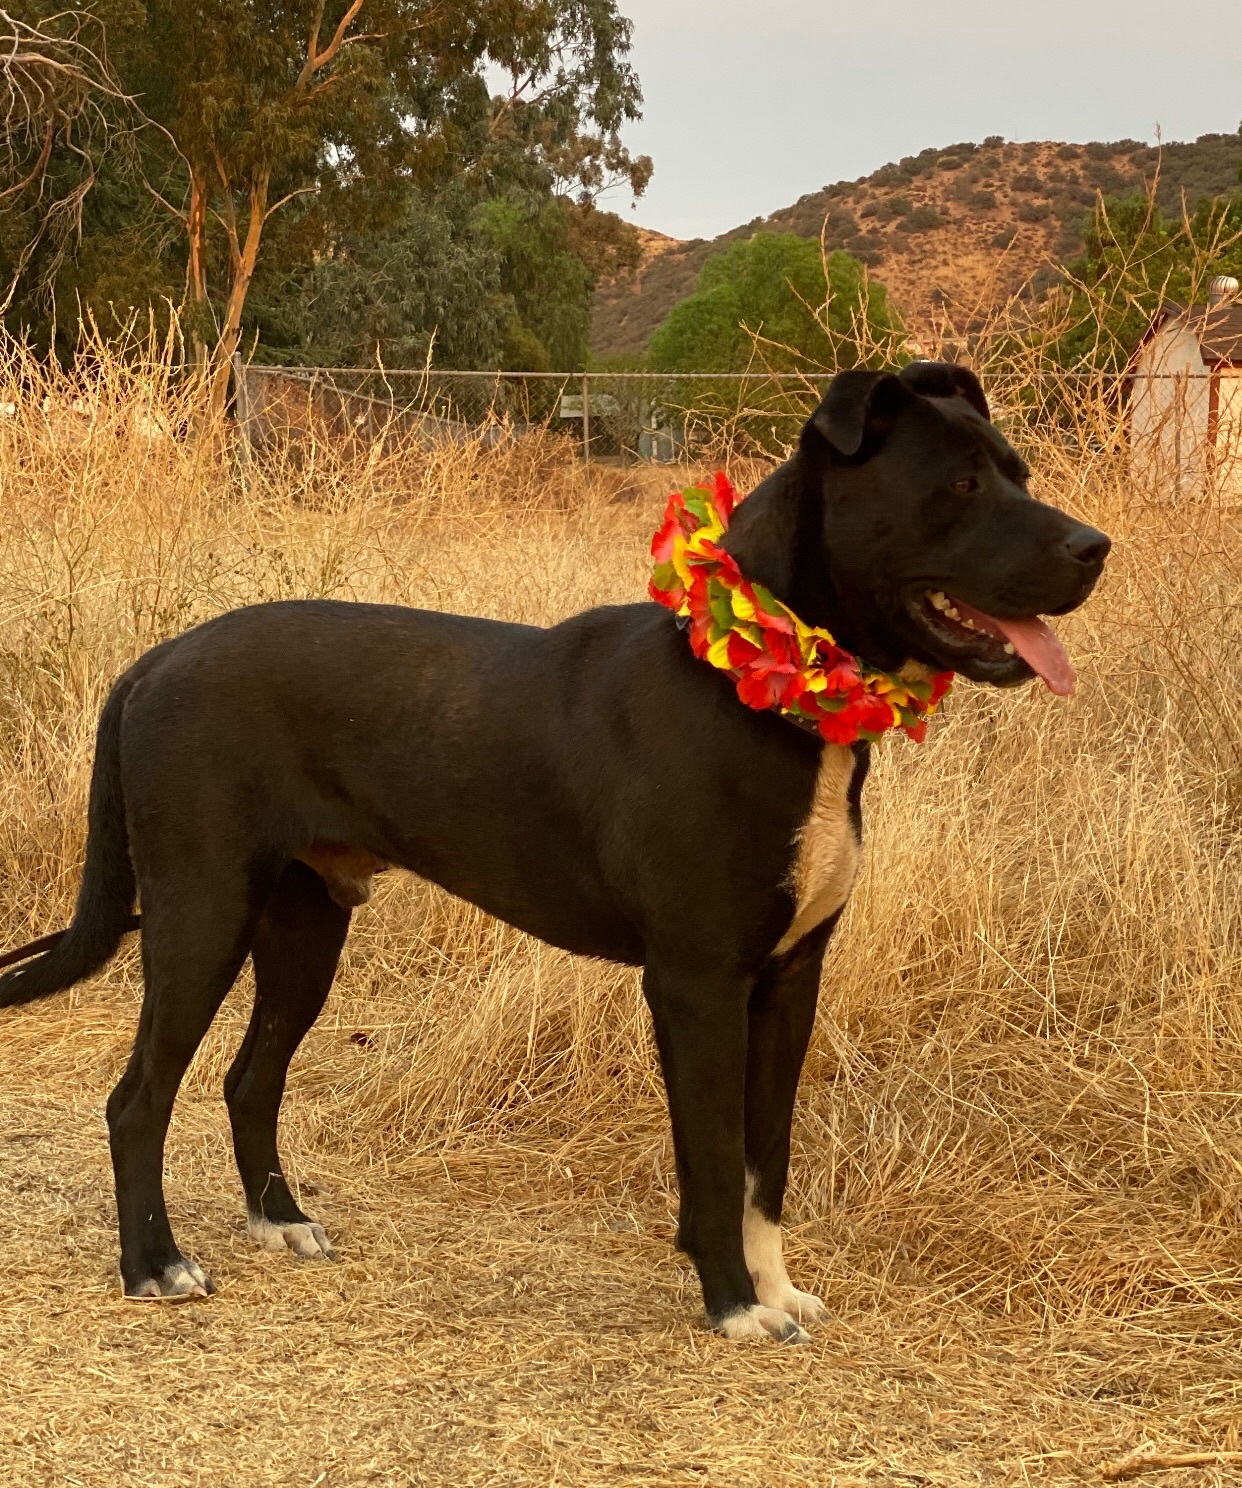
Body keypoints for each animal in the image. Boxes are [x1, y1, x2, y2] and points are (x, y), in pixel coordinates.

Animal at [0, 366, 1106, 1345]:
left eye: (1016, 468)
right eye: (960, 485)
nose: (1096, 545)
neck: (755, 689)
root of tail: (153, 662)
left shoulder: (790, 980)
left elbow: (767, 1160)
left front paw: (777, 1290)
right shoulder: (698, 983)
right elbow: (714, 1155)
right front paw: (732, 1303)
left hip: (303, 928)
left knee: (247, 1079)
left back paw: (282, 1218)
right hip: (202, 913)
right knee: (138, 1099)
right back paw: (154, 1264)